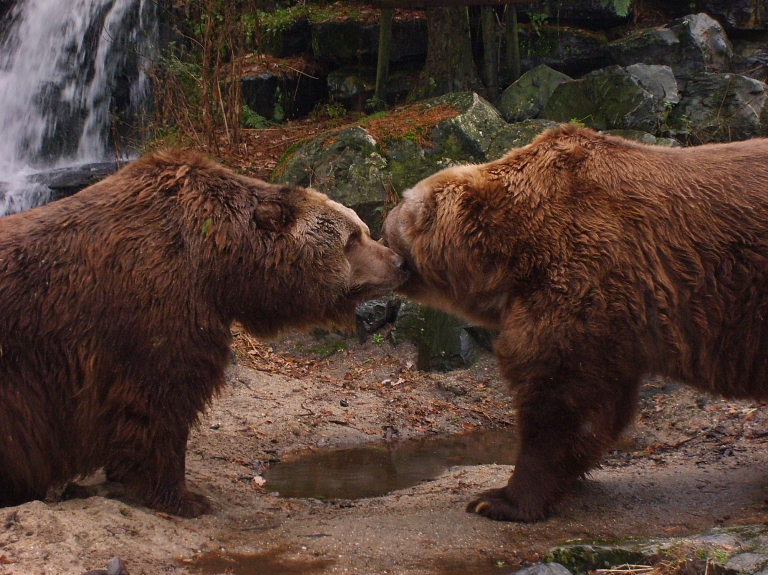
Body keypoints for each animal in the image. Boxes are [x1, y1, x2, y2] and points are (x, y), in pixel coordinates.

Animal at [0, 148, 408, 516]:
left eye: (362, 229)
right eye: (351, 239)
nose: (399, 261)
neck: (218, 265)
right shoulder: (154, 306)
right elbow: (159, 401)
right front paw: (183, 497)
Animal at [382, 125, 768, 520]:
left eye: (388, 230)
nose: (387, 254)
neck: (510, 251)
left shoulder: (581, 271)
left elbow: (561, 394)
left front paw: (499, 498)